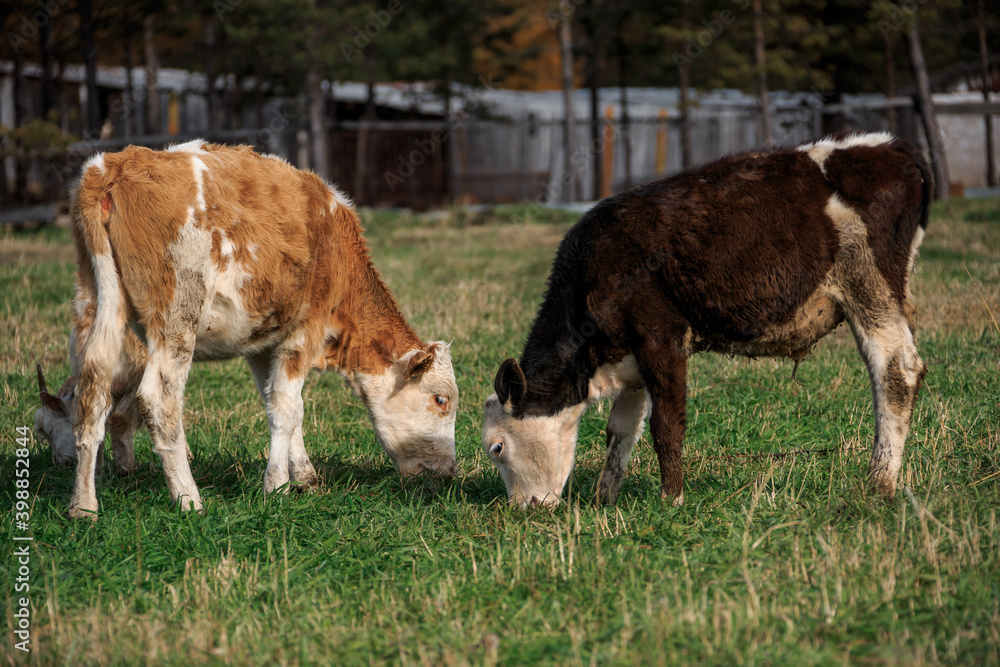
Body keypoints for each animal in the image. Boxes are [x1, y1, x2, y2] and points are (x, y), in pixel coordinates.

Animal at [67, 141, 459, 519]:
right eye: (441, 399)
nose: (450, 472)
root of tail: (114, 164)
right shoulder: (304, 332)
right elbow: (287, 408)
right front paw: (277, 486)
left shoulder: (263, 344)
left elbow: (281, 405)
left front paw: (304, 477)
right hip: (177, 315)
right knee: (158, 401)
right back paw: (189, 499)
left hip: (95, 305)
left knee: (91, 392)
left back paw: (84, 506)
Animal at [482, 132, 930, 508]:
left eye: (497, 447)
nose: (522, 509)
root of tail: (891, 147)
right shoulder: (630, 357)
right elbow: (621, 429)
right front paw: (604, 500)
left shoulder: (662, 336)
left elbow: (666, 424)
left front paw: (672, 498)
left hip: (870, 286)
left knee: (896, 370)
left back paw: (879, 483)